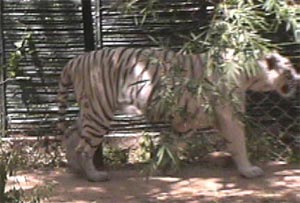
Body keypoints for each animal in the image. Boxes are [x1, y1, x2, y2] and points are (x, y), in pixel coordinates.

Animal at [57, 47, 298, 181]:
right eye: (289, 69)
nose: (298, 79)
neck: (252, 74)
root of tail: (75, 60)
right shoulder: (229, 115)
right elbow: (239, 143)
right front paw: (248, 171)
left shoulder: (188, 119)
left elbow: (172, 143)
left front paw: (163, 166)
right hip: (99, 111)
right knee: (83, 147)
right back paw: (94, 176)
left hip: (90, 110)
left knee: (71, 134)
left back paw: (76, 169)